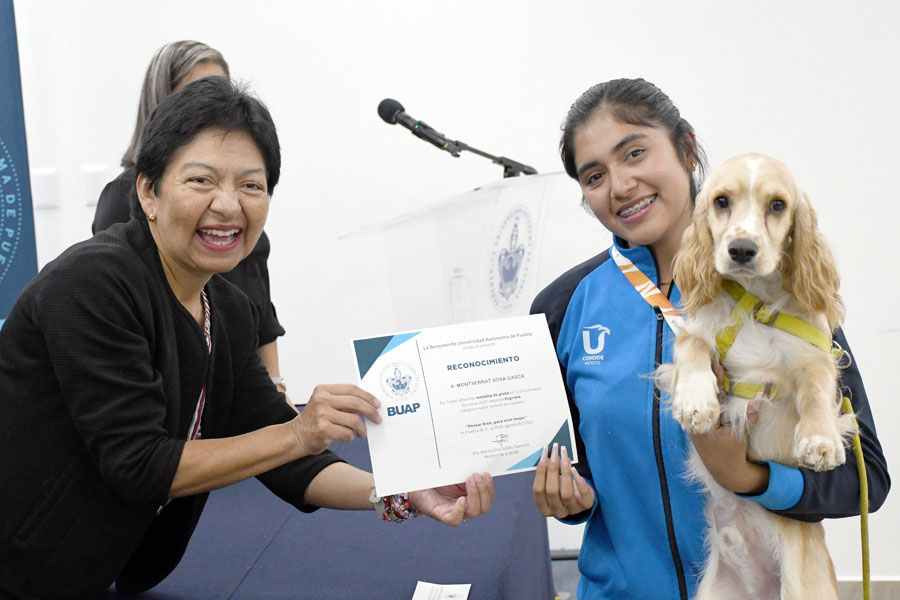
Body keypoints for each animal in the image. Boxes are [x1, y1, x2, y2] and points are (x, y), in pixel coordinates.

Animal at [660, 152, 856, 596]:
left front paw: (821, 441)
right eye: (720, 201)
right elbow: (694, 349)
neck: (755, 300)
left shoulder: (817, 354)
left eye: (778, 205)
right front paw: (697, 403)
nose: (741, 250)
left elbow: (817, 388)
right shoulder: (692, 335)